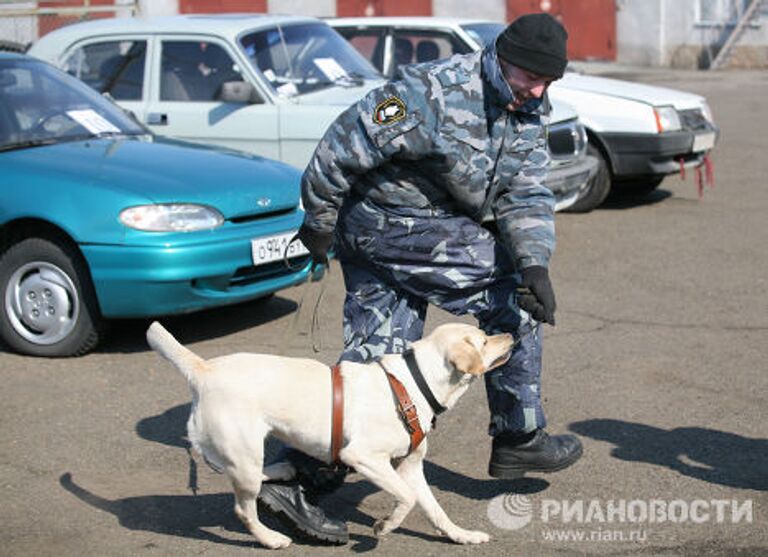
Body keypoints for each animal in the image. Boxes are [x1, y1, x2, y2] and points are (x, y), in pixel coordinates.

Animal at [147, 322, 512, 548]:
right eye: (484, 340)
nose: (510, 334)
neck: (413, 382)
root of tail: (204, 370)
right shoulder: (363, 457)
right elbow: (406, 499)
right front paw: (385, 526)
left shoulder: (410, 467)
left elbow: (435, 509)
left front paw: (460, 535)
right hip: (245, 456)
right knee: (243, 509)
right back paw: (271, 538)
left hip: (248, 456)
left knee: (255, 473)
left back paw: (283, 471)